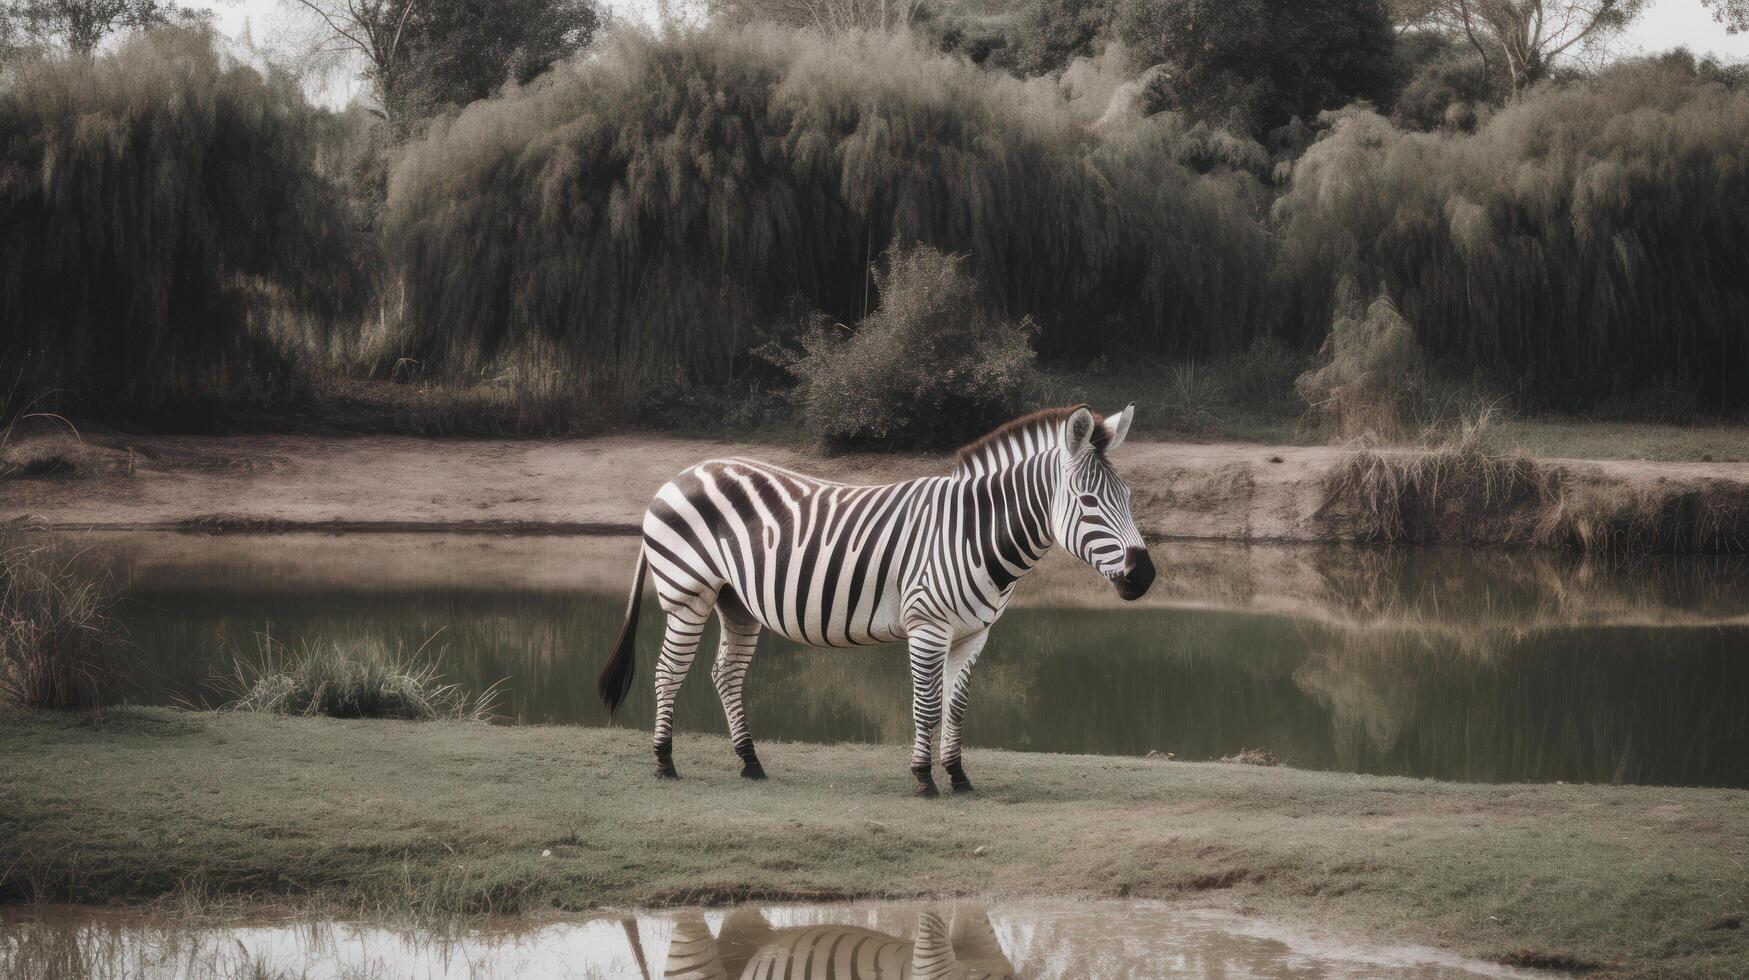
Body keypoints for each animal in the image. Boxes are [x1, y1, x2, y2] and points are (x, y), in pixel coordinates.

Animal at [594, 406, 1154, 798]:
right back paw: (665, 762)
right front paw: (924, 778)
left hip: (737, 602)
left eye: (1127, 497)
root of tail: (680, 475)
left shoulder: (974, 632)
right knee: (668, 673)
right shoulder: (927, 623)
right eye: (1088, 502)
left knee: (724, 674)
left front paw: (958, 776)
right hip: (687, 592)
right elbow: (927, 703)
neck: (972, 532)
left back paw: (750, 762)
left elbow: (956, 706)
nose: (1144, 576)